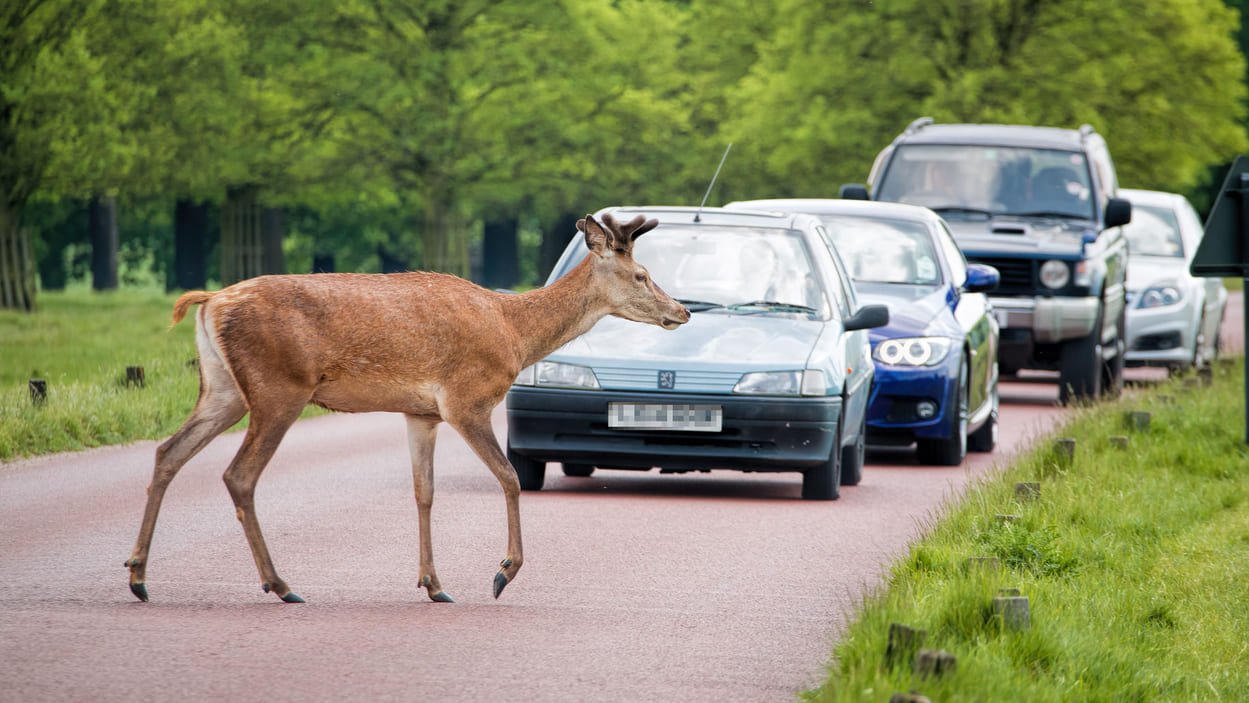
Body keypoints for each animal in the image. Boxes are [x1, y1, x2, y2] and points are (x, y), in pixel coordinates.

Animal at [125, 212, 689, 604]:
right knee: (238, 474)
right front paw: (502, 572)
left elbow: (424, 492)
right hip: (278, 388)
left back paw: (138, 576)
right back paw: (280, 584)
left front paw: (433, 584)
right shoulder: (466, 399)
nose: (681, 311)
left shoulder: (422, 413)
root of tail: (210, 301)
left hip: (222, 388)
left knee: (168, 451)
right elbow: (508, 477)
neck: (514, 333)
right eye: (641, 274)